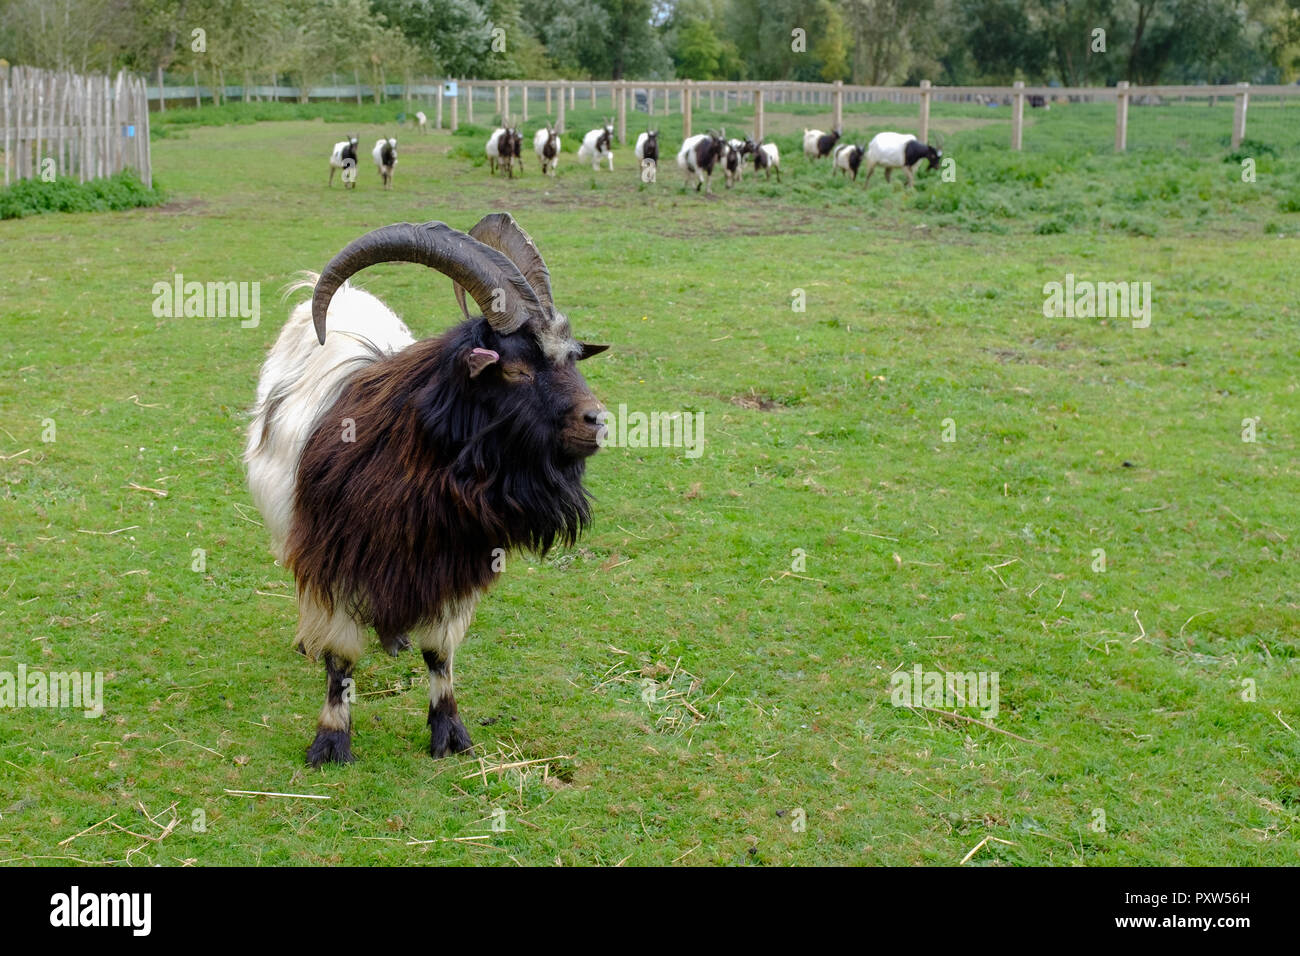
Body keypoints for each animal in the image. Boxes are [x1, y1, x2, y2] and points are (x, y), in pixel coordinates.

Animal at [245, 213, 611, 764]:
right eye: (515, 368)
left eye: (572, 359)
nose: (598, 422)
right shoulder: (332, 556)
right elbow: (340, 656)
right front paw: (331, 740)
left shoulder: (452, 563)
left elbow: (440, 651)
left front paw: (450, 731)